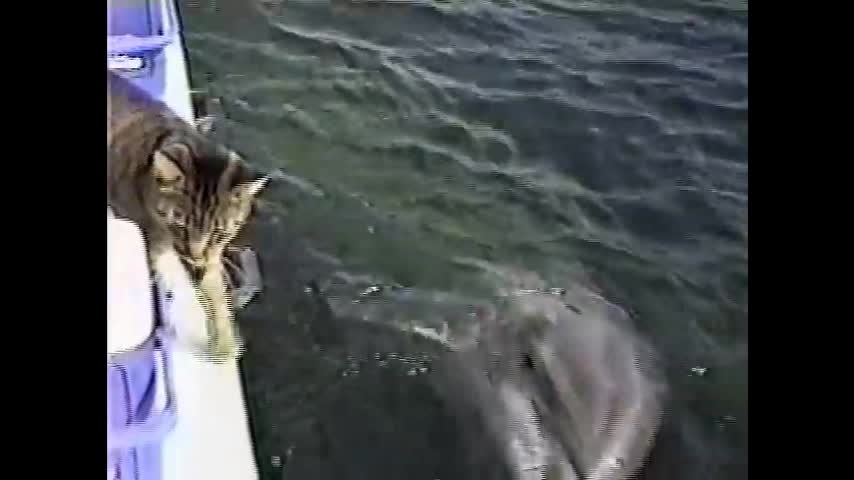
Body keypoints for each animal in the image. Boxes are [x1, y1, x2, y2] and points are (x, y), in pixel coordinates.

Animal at [108, 69, 268, 362]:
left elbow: (216, 290)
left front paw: (225, 340)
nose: (196, 257)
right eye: (179, 222)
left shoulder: (213, 256)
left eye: (220, 232)